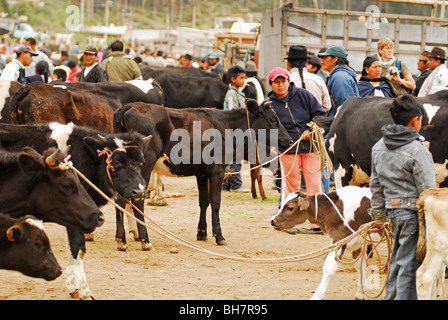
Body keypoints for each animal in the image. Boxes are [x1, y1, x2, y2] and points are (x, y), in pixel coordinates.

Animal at [114, 99, 292, 245]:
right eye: (273, 121)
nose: (290, 140)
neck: (226, 126)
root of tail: (129, 106)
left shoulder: (202, 173)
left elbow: (204, 201)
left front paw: (202, 232)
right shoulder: (217, 171)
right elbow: (216, 202)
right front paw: (219, 236)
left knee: (121, 199)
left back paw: (122, 239)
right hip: (145, 165)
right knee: (137, 200)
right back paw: (144, 239)